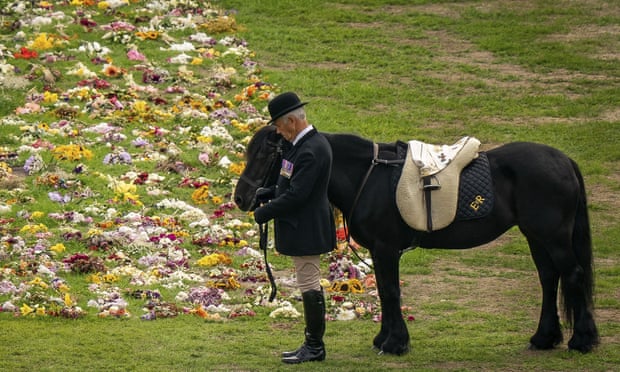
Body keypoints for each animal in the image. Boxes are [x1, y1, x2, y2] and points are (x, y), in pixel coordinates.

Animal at [231, 125, 596, 354]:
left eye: (265, 154)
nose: (241, 198)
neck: (369, 176)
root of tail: (563, 161)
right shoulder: (380, 251)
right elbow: (384, 292)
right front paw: (384, 339)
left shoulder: (386, 248)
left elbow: (391, 292)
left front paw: (395, 344)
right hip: (536, 236)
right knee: (549, 278)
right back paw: (544, 338)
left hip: (553, 237)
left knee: (573, 275)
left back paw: (583, 340)